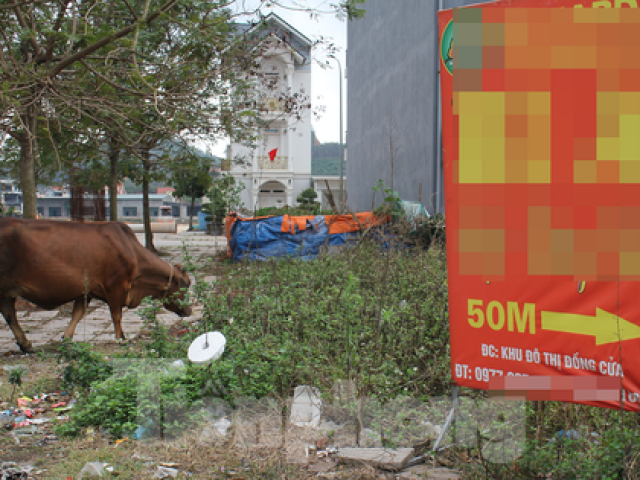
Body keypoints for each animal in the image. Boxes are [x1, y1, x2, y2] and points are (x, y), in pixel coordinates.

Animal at [0, 218, 191, 352]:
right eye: (186, 285)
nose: (189, 311)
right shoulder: (116, 287)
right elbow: (116, 315)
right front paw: (121, 338)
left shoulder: (86, 291)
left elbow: (77, 314)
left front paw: (67, 338)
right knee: (9, 314)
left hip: (7, 292)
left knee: (9, 314)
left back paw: (25, 344)